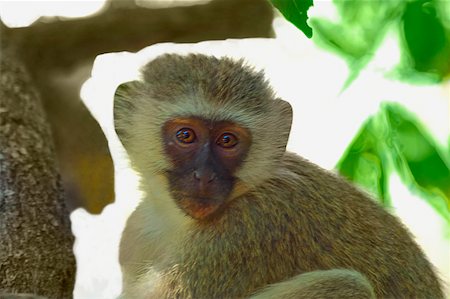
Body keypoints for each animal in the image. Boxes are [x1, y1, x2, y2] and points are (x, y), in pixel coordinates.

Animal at [112, 54, 442, 299]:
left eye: (228, 140)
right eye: (186, 135)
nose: (204, 175)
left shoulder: (244, 232)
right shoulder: (135, 232)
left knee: (347, 287)